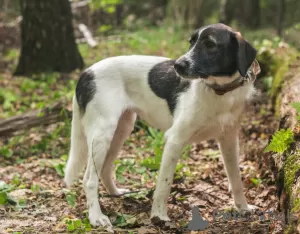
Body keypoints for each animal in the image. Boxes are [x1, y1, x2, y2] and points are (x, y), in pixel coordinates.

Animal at [63, 22, 260, 229]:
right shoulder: (175, 139)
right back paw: (96, 216)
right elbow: (164, 184)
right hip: (103, 133)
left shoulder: (229, 140)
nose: (177, 65)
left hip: (121, 129)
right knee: (89, 179)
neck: (219, 92)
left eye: (210, 45)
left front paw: (243, 207)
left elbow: (236, 179)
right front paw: (158, 216)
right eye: (191, 42)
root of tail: (87, 72)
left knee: (105, 167)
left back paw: (115, 192)